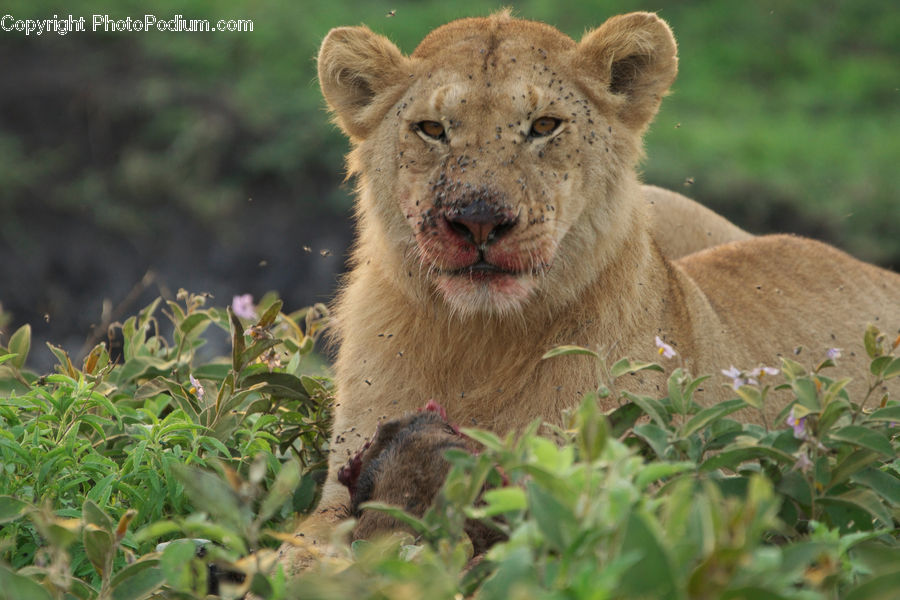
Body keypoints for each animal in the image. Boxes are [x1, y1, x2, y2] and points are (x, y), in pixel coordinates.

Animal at [278, 11, 900, 572]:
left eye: (544, 126)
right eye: (432, 129)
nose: (478, 220)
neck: (481, 341)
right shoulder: (348, 478)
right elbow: (303, 545)